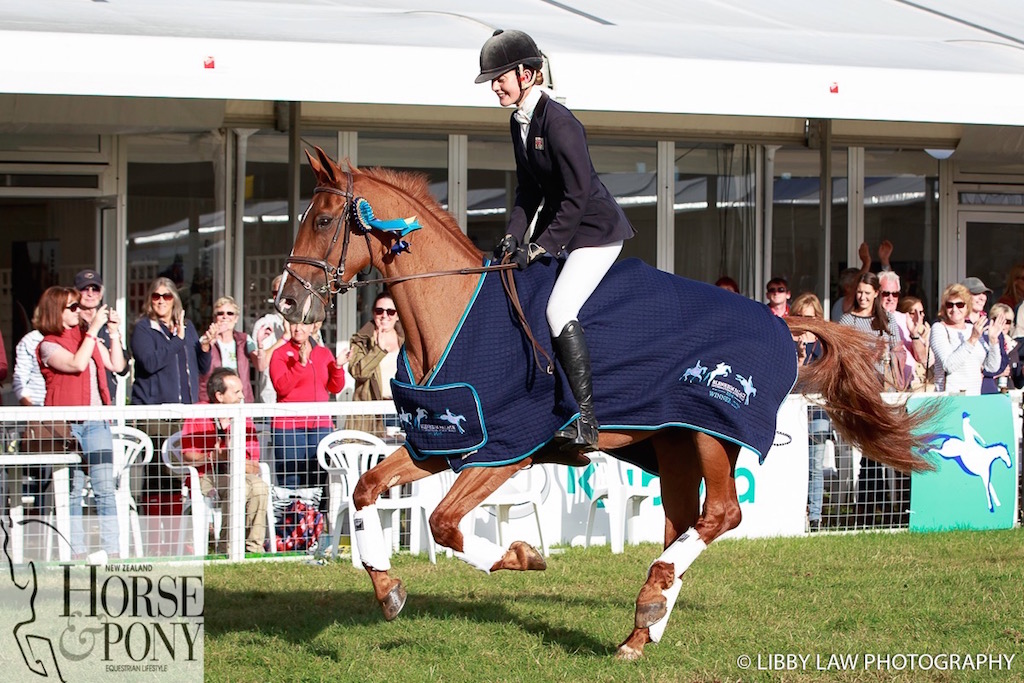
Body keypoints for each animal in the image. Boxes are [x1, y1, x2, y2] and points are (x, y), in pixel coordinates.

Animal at [276, 148, 933, 663]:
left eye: (326, 219)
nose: (287, 303)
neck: (452, 310)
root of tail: (780, 321)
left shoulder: (506, 452)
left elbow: (441, 523)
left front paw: (520, 556)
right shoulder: (445, 441)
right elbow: (366, 490)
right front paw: (386, 586)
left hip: (711, 434)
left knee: (722, 515)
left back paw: (651, 602)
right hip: (673, 444)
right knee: (683, 522)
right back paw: (644, 627)